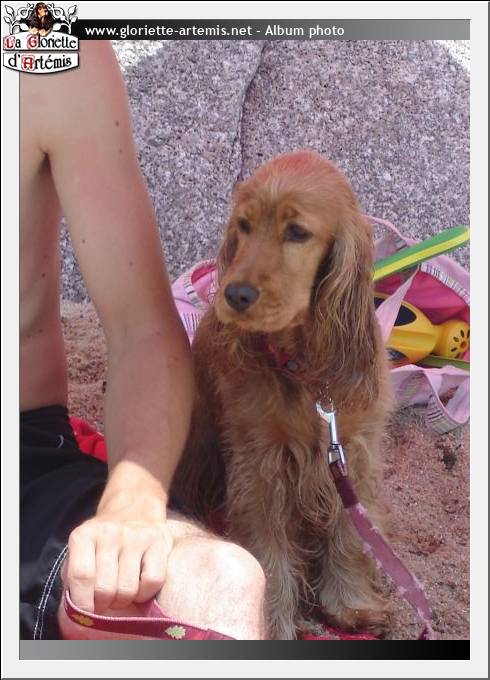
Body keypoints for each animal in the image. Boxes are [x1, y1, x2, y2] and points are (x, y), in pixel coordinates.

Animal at [171, 150, 393, 640]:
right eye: (244, 225)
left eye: (297, 232)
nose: (235, 294)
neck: (305, 369)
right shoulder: (261, 464)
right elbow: (267, 553)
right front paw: (270, 623)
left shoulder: (351, 451)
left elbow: (350, 531)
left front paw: (350, 604)